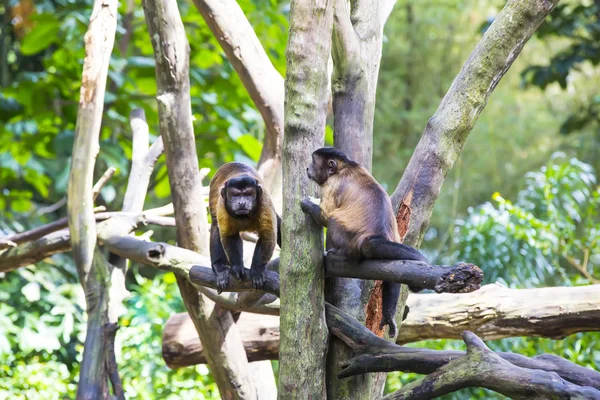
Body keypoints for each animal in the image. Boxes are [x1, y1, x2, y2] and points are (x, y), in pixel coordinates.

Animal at [209, 162, 282, 294]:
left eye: (248, 194)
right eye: (235, 195)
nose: (242, 203)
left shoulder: (264, 201)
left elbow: (268, 235)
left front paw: (257, 271)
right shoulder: (222, 204)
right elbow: (229, 236)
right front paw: (237, 267)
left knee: (278, 223)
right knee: (216, 225)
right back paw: (219, 267)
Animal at [300, 147, 426, 338]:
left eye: (314, 162)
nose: (308, 168)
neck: (344, 168)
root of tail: (376, 235)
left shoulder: (332, 185)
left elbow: (325, 217)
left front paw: (307, 204)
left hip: (350, 241)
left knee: (335, 219)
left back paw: (336, 254)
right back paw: (388, 315)